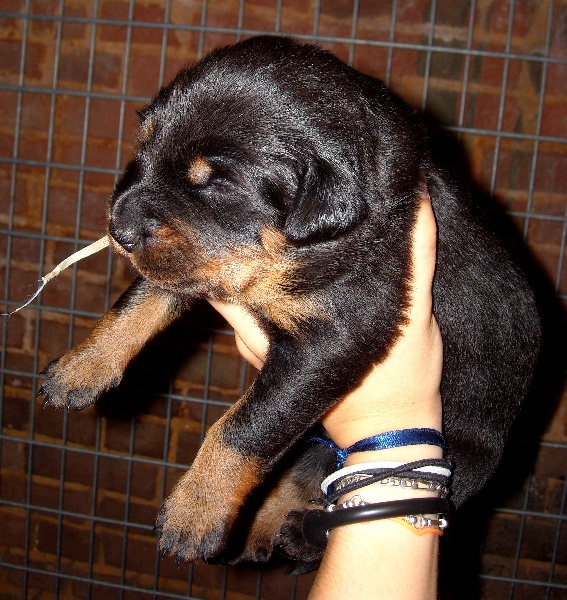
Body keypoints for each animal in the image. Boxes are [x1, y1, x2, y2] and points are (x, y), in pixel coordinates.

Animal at [38, 36, 541, 568]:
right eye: (144, 147)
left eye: (215, 183)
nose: (118, 229)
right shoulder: (195, 261)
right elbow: (138, 303)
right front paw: (80, 368)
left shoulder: (337, 333)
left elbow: (247, 423)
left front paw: (194, 511)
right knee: (300, 475)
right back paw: (263, 530)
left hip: (466, 455)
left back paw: (302, 533)